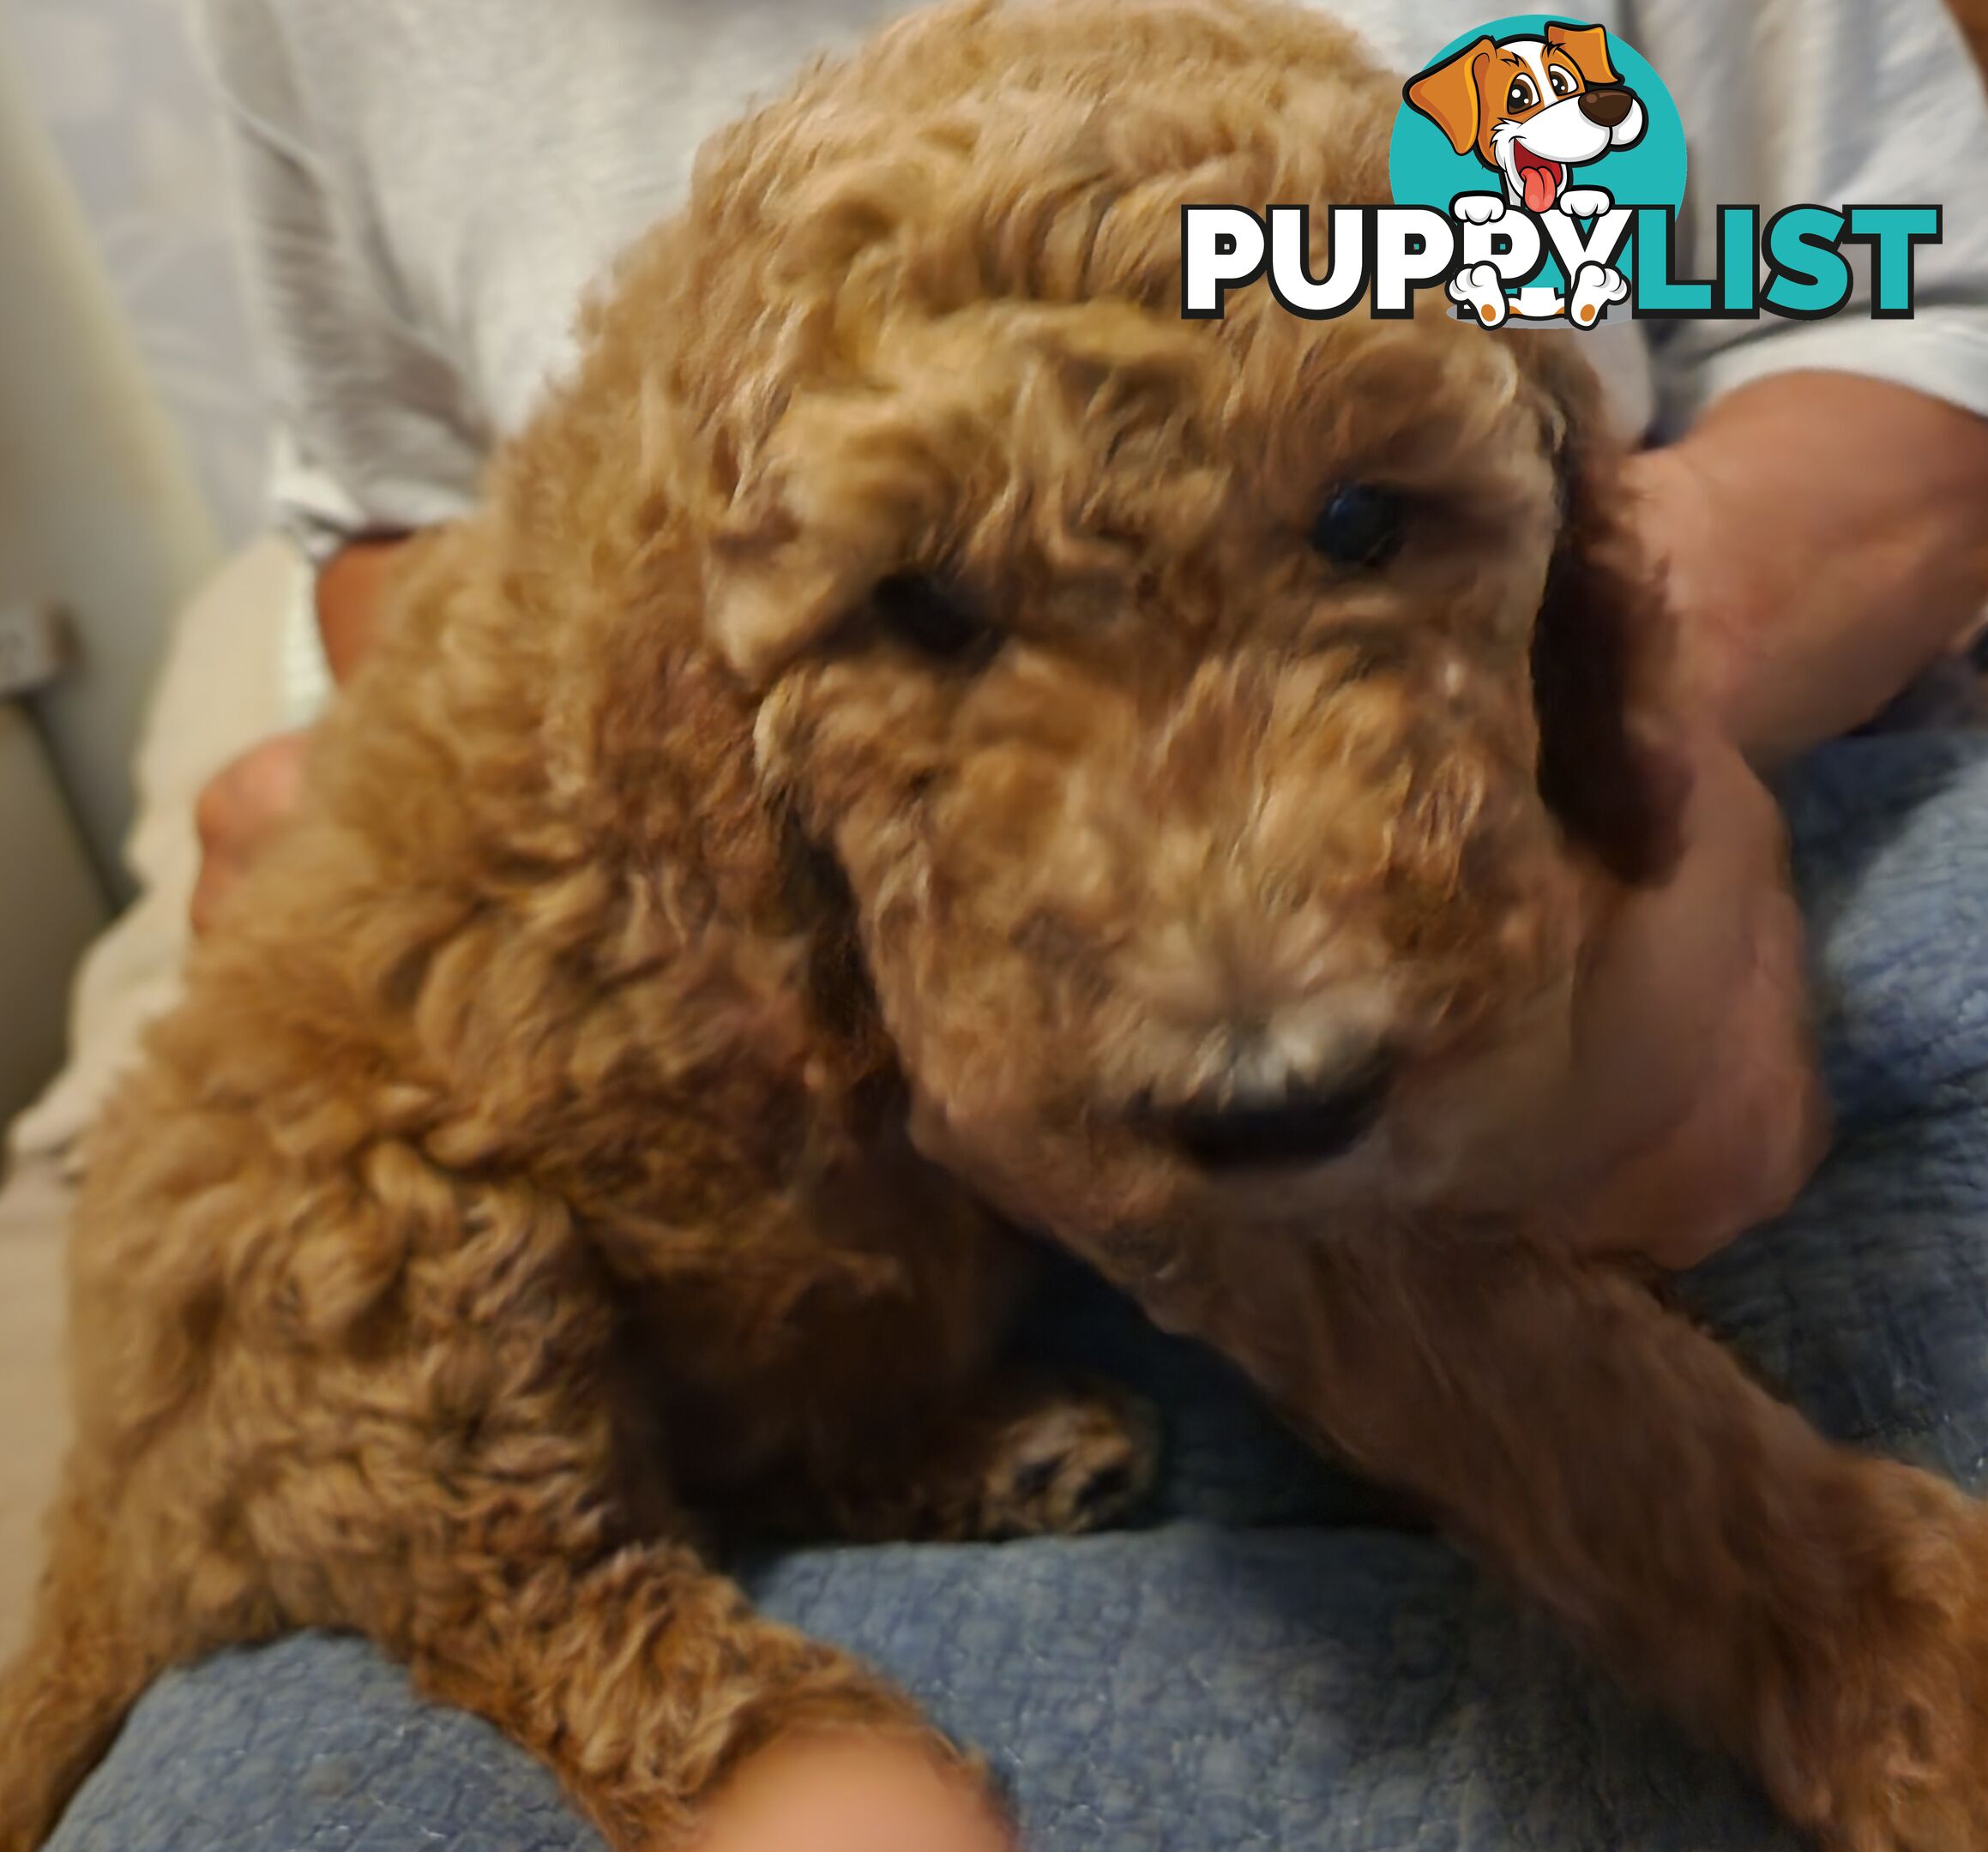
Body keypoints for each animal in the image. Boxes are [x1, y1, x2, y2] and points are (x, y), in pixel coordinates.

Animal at [3, 3, 1988, 1852]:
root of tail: (109, 1501)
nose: (1275, 1088)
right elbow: (1584, 1408)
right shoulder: (1111, 1131)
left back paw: (991, 1451)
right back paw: (816, 1761)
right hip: (376, 1260)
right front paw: (1902, 1663)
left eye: (1363, 515)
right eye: (918, 609)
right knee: (546, 1585)